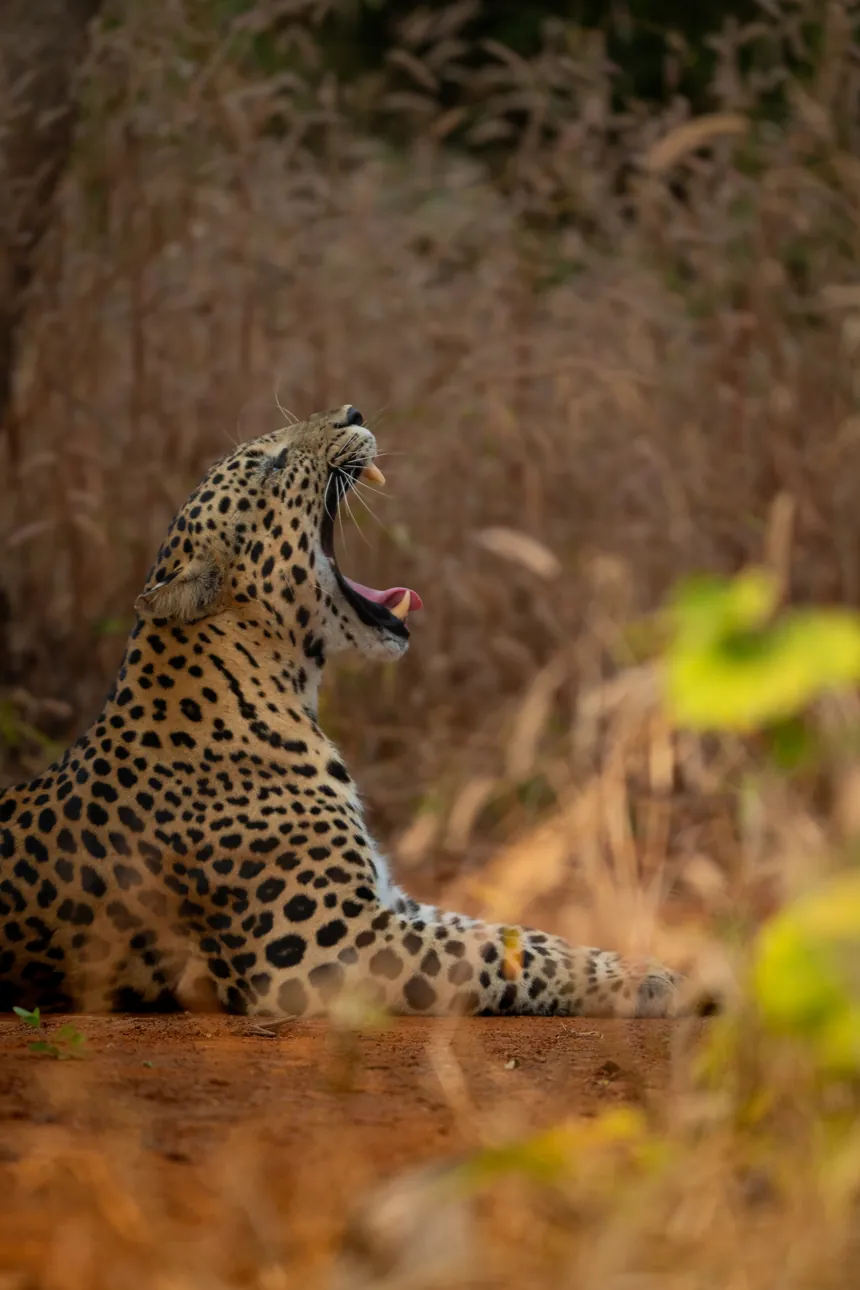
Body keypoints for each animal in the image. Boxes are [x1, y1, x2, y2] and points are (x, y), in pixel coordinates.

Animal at [0, 404, 687, 1020]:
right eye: (273, 462)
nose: (353, 411)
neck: (278, 688)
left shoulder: (388, 901)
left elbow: (519, 935)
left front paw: (645, 965)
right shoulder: (327, 947)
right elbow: (496, 954)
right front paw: (648, 983)